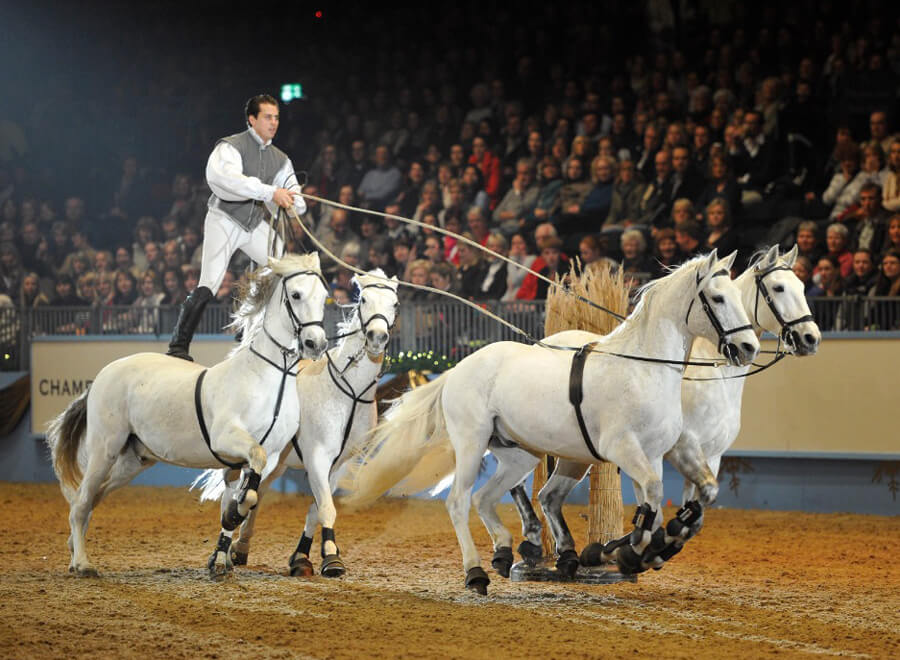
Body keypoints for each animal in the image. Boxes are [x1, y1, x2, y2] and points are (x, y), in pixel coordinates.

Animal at [47, 254, 328, 576]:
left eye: (324, 297)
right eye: (295, 295)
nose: (316, 344)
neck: (271, 378)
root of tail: (102, 376)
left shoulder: (265, 458)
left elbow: (248, 495)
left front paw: (222, 557)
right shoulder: (228, 439)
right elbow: (247, 489)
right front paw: (231, 521)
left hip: (132, 461)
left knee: (92, 497)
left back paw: (73, 550)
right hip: (104, 449)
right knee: (82, 502)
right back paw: (82, 563)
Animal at [195, 268, 400, 576]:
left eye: (395, 303)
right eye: (363, 299)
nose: (377, 336)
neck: (348, 391)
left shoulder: (340, 465)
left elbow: (316, 509)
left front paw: (302, 557)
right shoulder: (317, 457)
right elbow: (326, 507)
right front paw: (331, 558)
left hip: (274, 464)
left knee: (256, 496)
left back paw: (240, 547)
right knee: (233, 496)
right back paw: (222, 554)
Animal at [348, 251, 756, 592]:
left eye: (738, 296)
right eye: (717, 298)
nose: (748, 348)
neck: (642, 368)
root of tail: (459, 368)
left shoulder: (658, 454)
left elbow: (667, 505)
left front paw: (640, 550)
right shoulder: (623, 449)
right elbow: (654, 499)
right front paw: (625, 552)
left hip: (517, 455)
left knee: (486, 497)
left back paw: (505, 552)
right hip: (471, 443)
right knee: (460, 502)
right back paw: (476, 572)